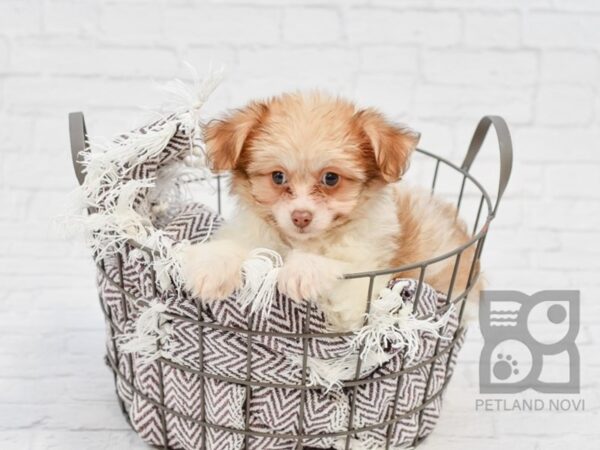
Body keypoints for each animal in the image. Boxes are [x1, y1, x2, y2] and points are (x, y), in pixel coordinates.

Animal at [180, 92, 480, 330]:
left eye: (331, 178)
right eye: (278, 177)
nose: (301, 217)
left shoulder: (360, 291)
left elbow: (340, 264)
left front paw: (302, 269)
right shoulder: (252, 234)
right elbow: (236, 246)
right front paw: (212, 266)